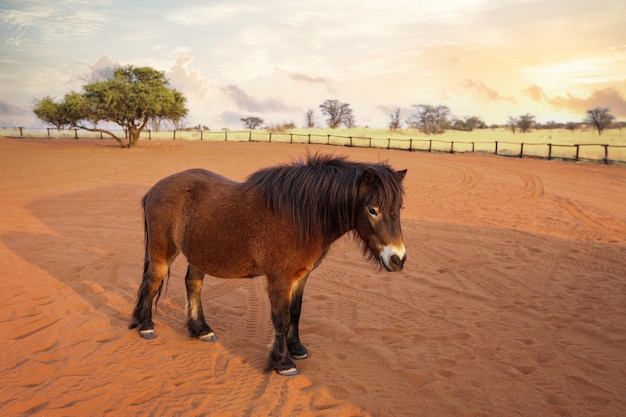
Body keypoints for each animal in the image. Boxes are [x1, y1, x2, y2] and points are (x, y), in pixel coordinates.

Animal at [129, 153, 408, 374]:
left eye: (400, 208)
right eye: (372, 209)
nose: (398, 259)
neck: (301, 217)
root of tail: (155, 188)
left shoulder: (301, 277)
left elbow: (295, 312)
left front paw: (297, 348)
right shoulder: (280, 280)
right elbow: (281, 318)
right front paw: (283, 362)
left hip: (199, 254)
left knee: (192, 286)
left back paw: (201, 329)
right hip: (162, 253)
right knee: (151, 283)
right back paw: (146, 326)